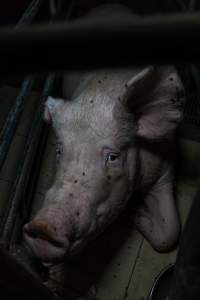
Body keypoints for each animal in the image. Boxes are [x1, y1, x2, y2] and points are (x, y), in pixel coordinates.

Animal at [23, 5, 184, 262]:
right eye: (59, 149)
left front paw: (138, 215)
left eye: (113, 157)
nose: (43, 227)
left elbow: (171, 232)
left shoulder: (166, 168)